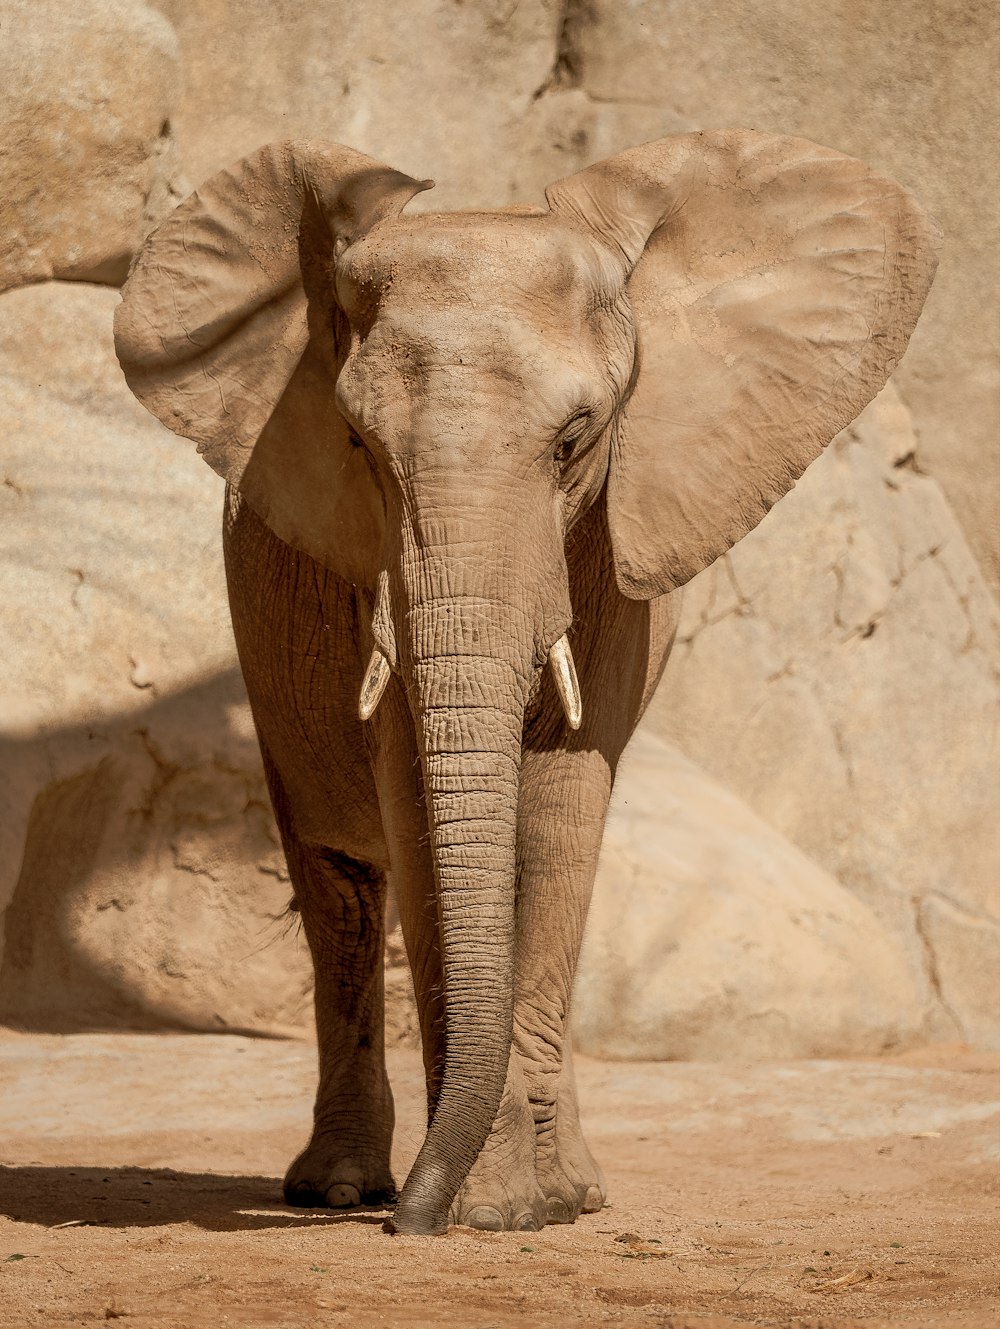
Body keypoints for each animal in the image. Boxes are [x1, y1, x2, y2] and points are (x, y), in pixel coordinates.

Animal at [113, 132, 941, 1233]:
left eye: (574, 440)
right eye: (359, 445)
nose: (408, 1223)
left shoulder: (616, 546)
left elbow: (557, 809)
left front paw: (524, 1206)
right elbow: (418, 813)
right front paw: (480, 1205)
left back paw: (569, 1190)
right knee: (338, 886)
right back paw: (337, 1186)